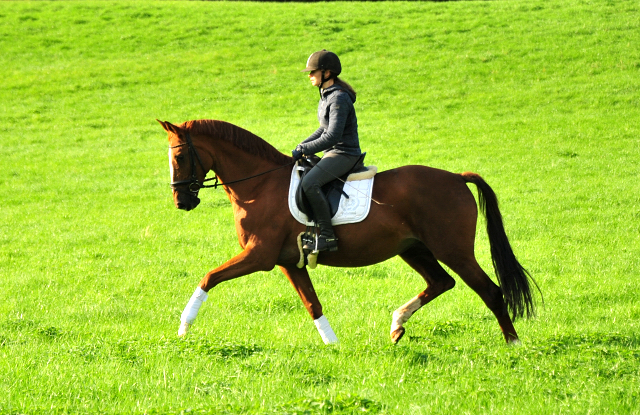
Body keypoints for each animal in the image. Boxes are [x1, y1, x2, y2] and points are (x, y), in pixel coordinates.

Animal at [158, 119, 536, 344]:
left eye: (179, 156)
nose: (181, 201)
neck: (259, 185)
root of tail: (457, 178)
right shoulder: (289, 262)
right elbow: (312, 303)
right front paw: (333, 345)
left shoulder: (259, 255)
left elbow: (208, 277)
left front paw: (184, 326)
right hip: (413, 248)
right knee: (441, 282)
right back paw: (397, 324)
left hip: (452, 249)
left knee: (490, 291)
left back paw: (513, 344)